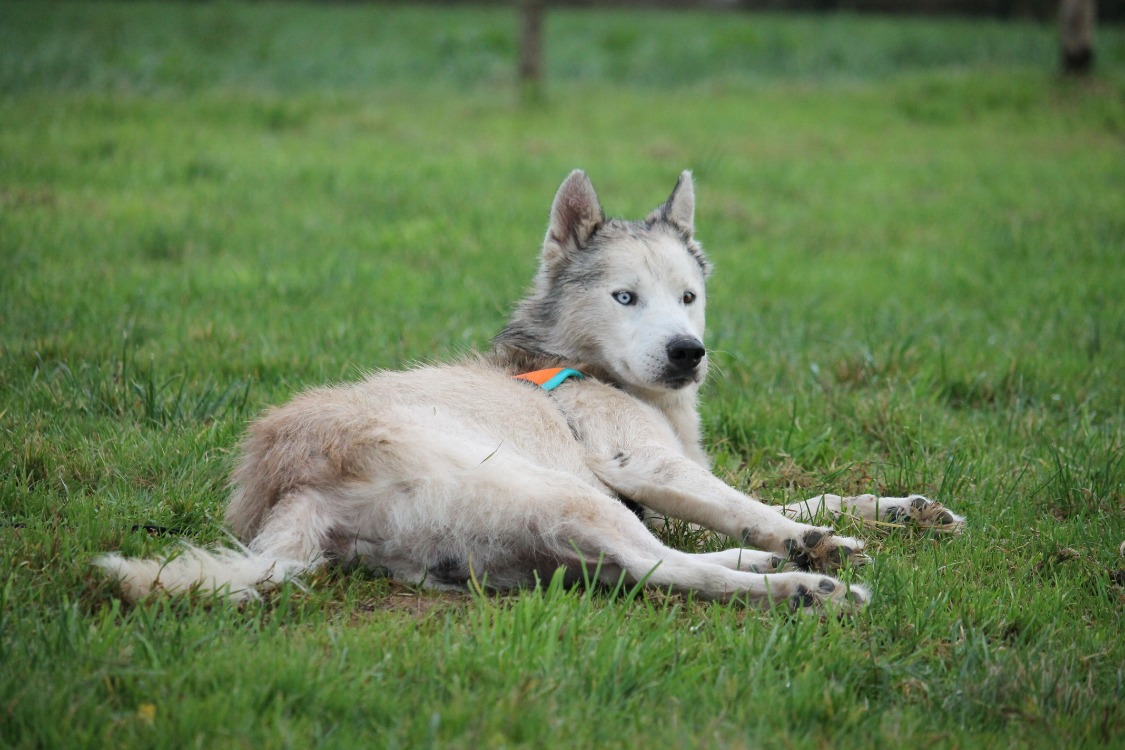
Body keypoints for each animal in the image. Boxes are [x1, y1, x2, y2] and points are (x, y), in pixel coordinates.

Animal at [97, 170, 965, 610]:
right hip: (567, 494)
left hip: (547, 538)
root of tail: (291, 491)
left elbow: (798, 499)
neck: (577, 362)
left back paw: (774, 563)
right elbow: (756, 506)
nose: (687, 354)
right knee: (671, 572)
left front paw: (899, 510)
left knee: (646, 566)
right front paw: (815, 541)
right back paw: (802, 583)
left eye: (688, 297)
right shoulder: (644, 470)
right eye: (625, 298)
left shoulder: (670, 482)